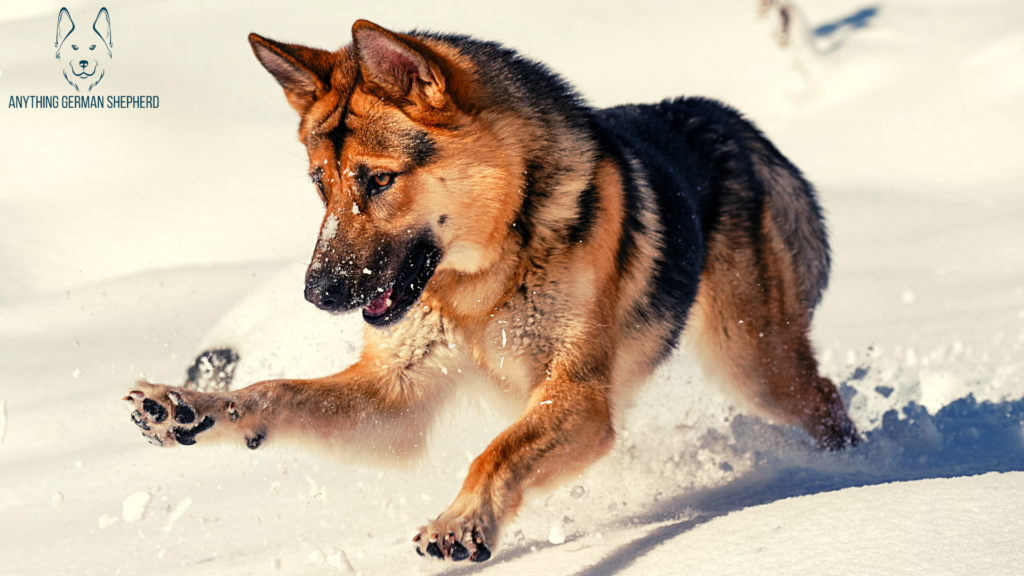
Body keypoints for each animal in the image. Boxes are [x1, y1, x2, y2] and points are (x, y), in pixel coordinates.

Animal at [125, 19, 856, 561]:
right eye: (319, 184)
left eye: (379, 180)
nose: (317, 293)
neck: (483, 280)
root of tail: (726, 118)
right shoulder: (395, 396)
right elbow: (271, 392)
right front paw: (184, 406)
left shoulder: (579, 396)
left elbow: (496, 450)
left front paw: (463, 522)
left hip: (752, 365)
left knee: (826, 401)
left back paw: (851, 475)